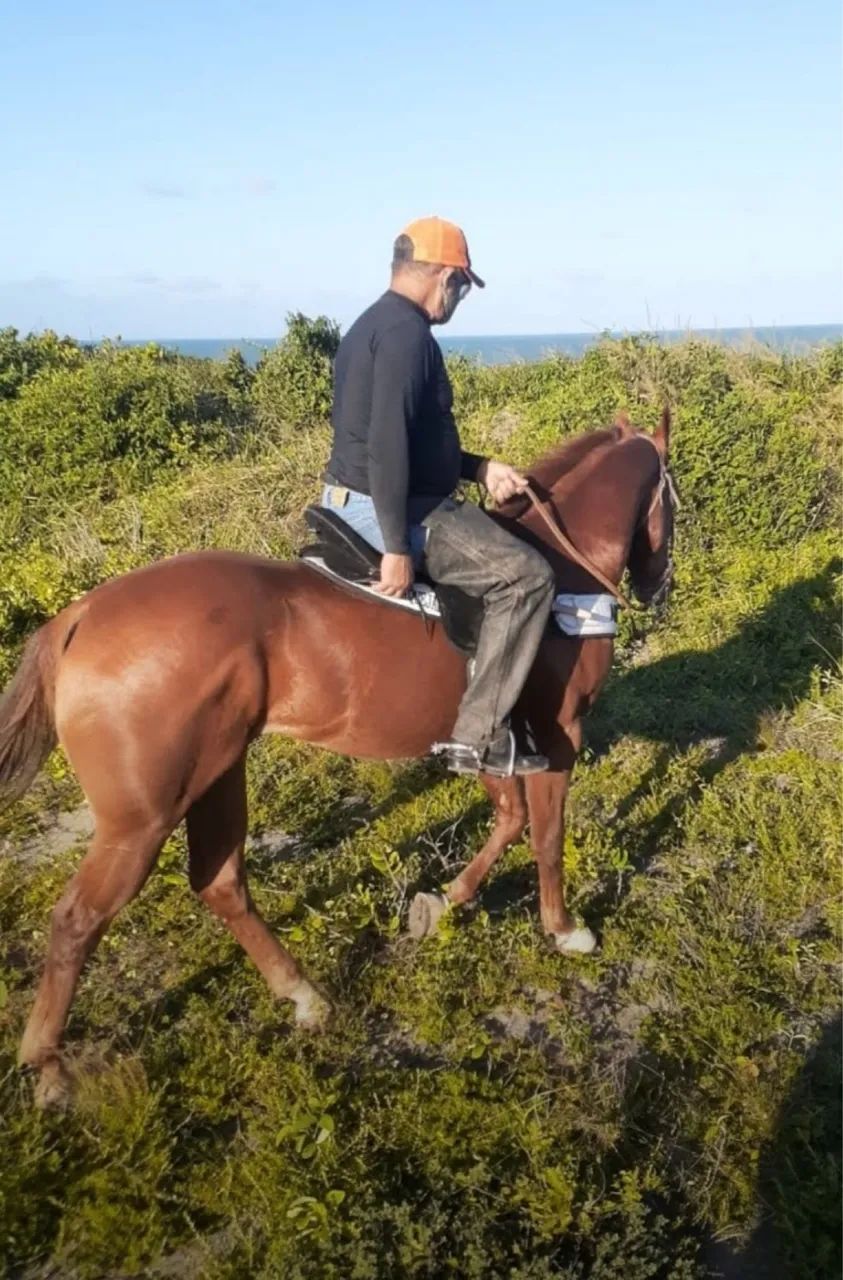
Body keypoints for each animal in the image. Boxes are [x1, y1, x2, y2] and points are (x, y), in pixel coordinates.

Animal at [0, 409, 675, 1107]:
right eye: (671, 497)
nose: (660, 582)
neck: (564, 577)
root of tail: (78, 617)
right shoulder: (558, 732)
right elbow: (545, 835)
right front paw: (563, 927)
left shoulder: (490, 740)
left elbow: (509, 819)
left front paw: (447, 900)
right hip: (141, 817)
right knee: (78, 919)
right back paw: (49, 1066)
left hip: (218, 773)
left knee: (221, 883)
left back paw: (302, 995)